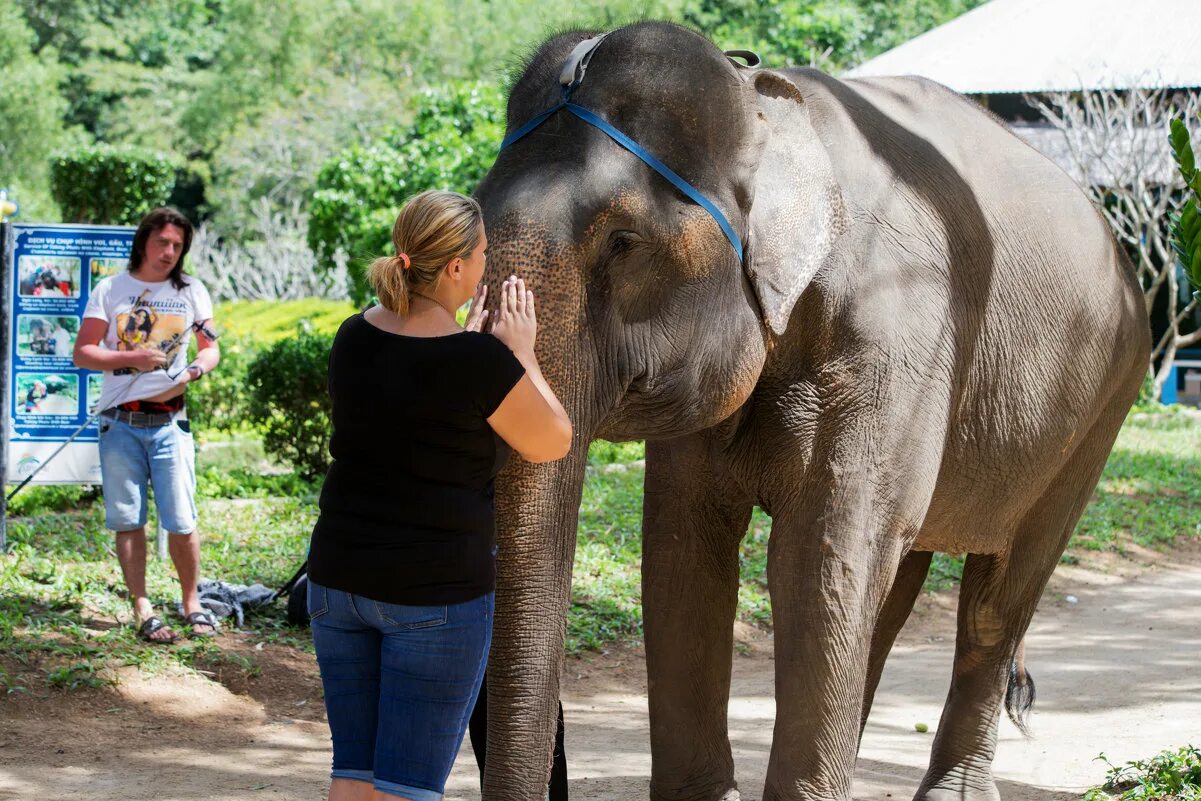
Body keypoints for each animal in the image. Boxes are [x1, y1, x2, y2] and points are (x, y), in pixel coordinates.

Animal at [473, 18, 1148, 801]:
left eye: (623, 241)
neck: (763, 106)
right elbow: (682, 548)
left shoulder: (897, 331)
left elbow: (816, 554)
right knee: (893, 587)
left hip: (1101, 406)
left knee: (994, 601)